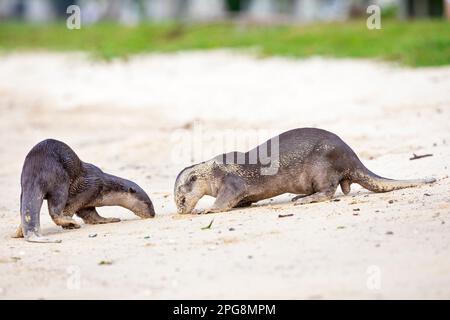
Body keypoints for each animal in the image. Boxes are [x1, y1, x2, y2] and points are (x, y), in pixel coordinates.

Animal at [15, 139, 156, 242]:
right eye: (148, 203)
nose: (153, 214)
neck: (106, 187)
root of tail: (36, 169)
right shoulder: (90, 189)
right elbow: (72, 208)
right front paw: (69, 225)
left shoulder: (88, 202)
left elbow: (91, 215)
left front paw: (109, 219)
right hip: (60, 183)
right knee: (55, 209)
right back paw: (71, 223)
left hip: (24, 189)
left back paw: (19, 232)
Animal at [173, 128, 436, 215]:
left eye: (181, 198)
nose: (181, 211)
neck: (215, 172)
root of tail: (351, 155)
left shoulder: (232, 181)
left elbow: (225, 199)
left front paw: (207, 210)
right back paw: (301, 196)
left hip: (322, 165)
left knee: (328, 191)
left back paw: (304, 199)